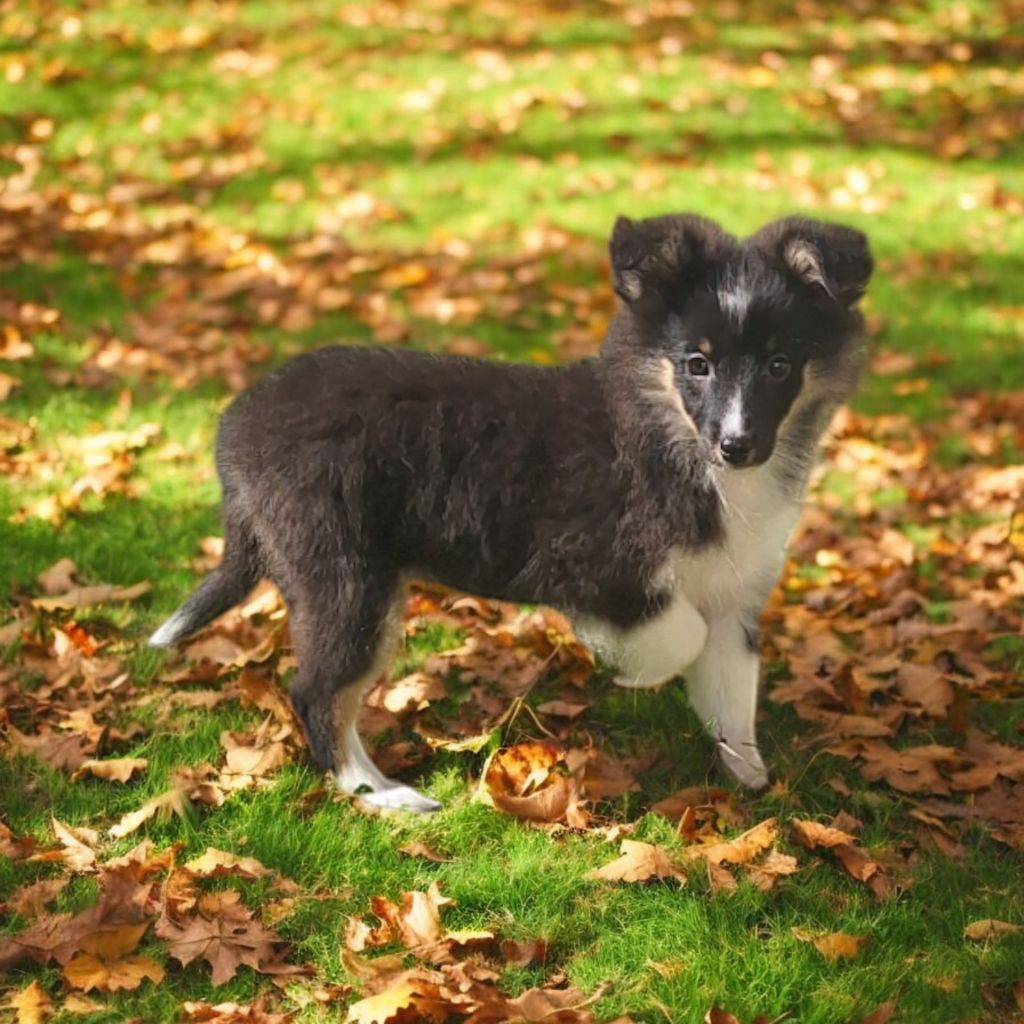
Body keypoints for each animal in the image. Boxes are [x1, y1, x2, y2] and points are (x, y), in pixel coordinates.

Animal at [151, 211, 872, 811]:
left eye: (779, 365)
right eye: (697, 364)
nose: (737, 445)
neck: (673, 438)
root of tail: (235, 430)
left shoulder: (733, 591)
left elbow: (731, 687)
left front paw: (746, 774)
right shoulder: (597, 566)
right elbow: (679, 636)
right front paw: (629, 668)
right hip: (346, 577)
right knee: (318, 693)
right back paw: (380, 794)